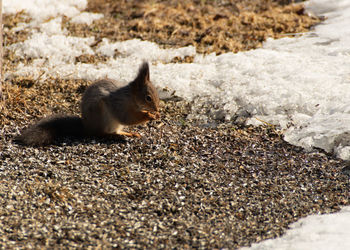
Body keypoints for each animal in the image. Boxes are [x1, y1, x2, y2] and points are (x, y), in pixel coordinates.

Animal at [15, 61, 160, 146]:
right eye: (148, 98)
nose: (157, 109)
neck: (130, 97)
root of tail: (87, 127)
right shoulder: (118, 104)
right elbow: (126, 118)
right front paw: (149, 115)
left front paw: (156, 115)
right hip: (103, 117)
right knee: (101, 133)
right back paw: (112, 136)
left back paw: (128, 134)